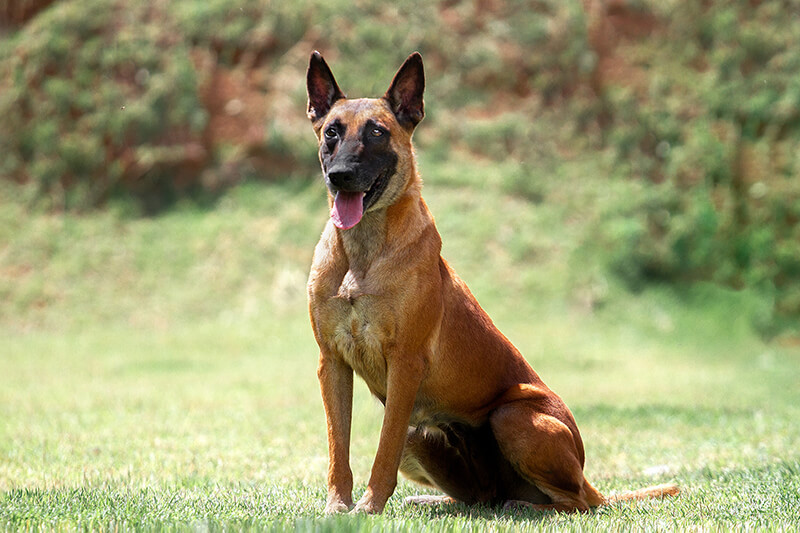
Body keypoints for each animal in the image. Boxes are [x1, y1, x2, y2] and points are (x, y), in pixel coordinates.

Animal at [304, 52, 680, 512]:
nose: (339, 175)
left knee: (572, 502)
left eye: (377, 132)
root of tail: (590, 479)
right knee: (480, 498)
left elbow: (383, 451)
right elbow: (338, 447)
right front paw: (337, 507)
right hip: (422, 432)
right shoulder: (332, 364)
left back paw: (525, 506)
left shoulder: (405, 366)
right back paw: (442, 500)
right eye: (332, 132)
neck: (362, 252)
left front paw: (370, 507)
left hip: (512, 416)